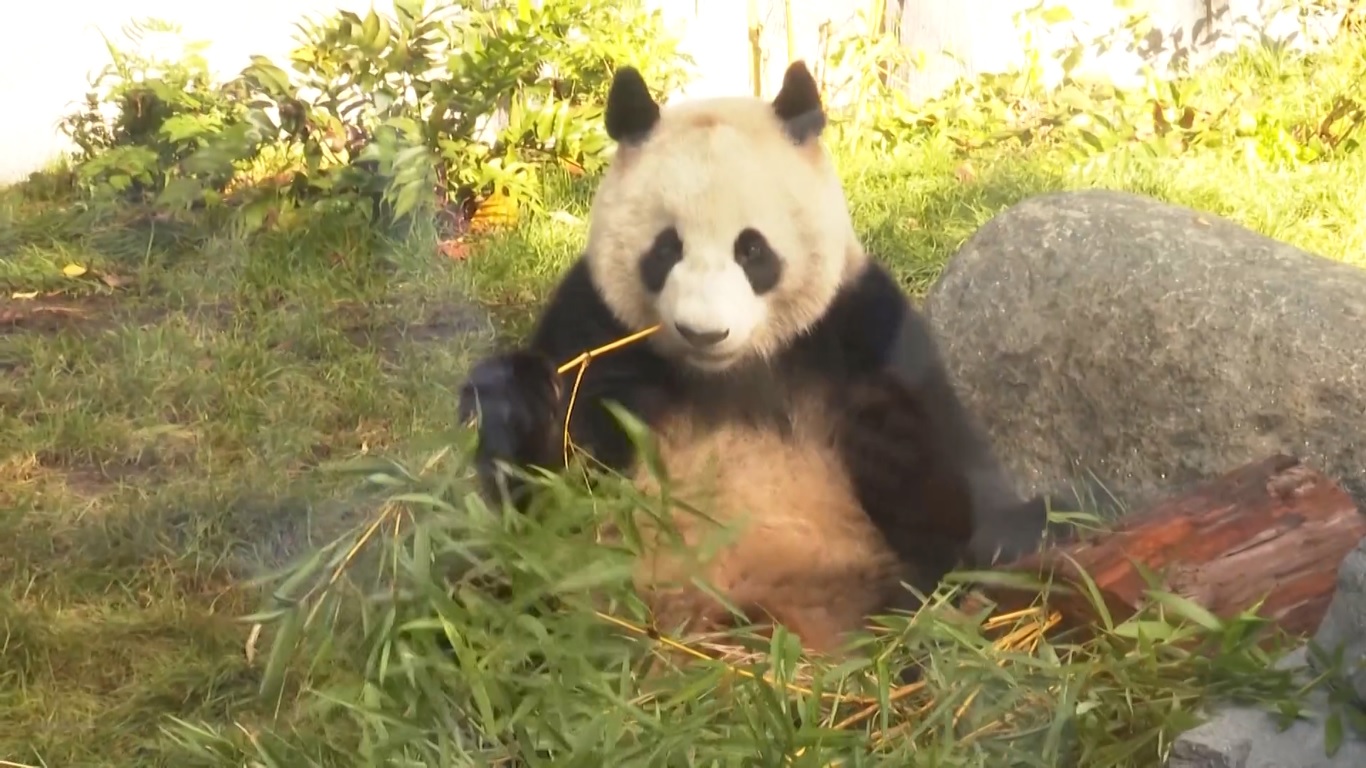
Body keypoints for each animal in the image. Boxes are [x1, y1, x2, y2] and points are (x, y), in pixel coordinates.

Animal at [456, 60, 1065, 660]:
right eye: (666, 248)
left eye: (752, 250)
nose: (703, 331)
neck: (727, 372)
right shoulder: (596, 328)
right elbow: (549, 491)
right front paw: (514, 401)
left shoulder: (860, 328)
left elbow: (950, 493)